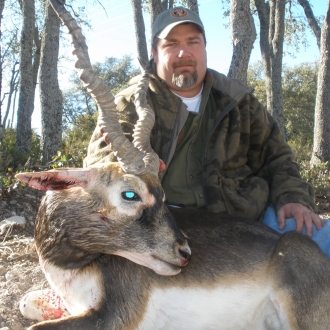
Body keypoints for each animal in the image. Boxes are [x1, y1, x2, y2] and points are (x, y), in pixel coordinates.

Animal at [16, 1, 330, 328]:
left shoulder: (115, 314)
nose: (184, 252)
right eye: (130, 194)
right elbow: (26, 303)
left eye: (162, 195)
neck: (71, 266)